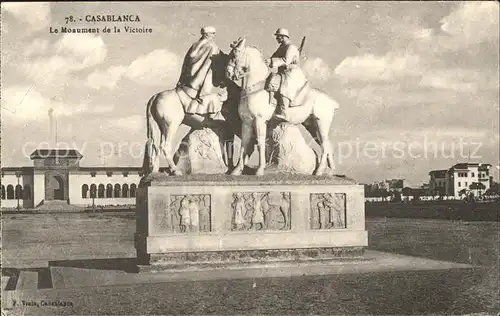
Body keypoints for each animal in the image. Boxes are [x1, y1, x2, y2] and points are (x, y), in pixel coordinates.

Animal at [227, 41, 340, 177]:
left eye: (234, 55)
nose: (228, 73)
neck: (254, 88)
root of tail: (331, 101)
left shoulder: (260, 121)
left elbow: (260, 144)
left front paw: (259, 170)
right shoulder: (246, 123)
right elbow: (244, 145)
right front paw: (236, 170)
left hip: (321, 123)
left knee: (325, 145)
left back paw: (319, 171)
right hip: (312, 126)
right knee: (327, 145)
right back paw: (330, 172)